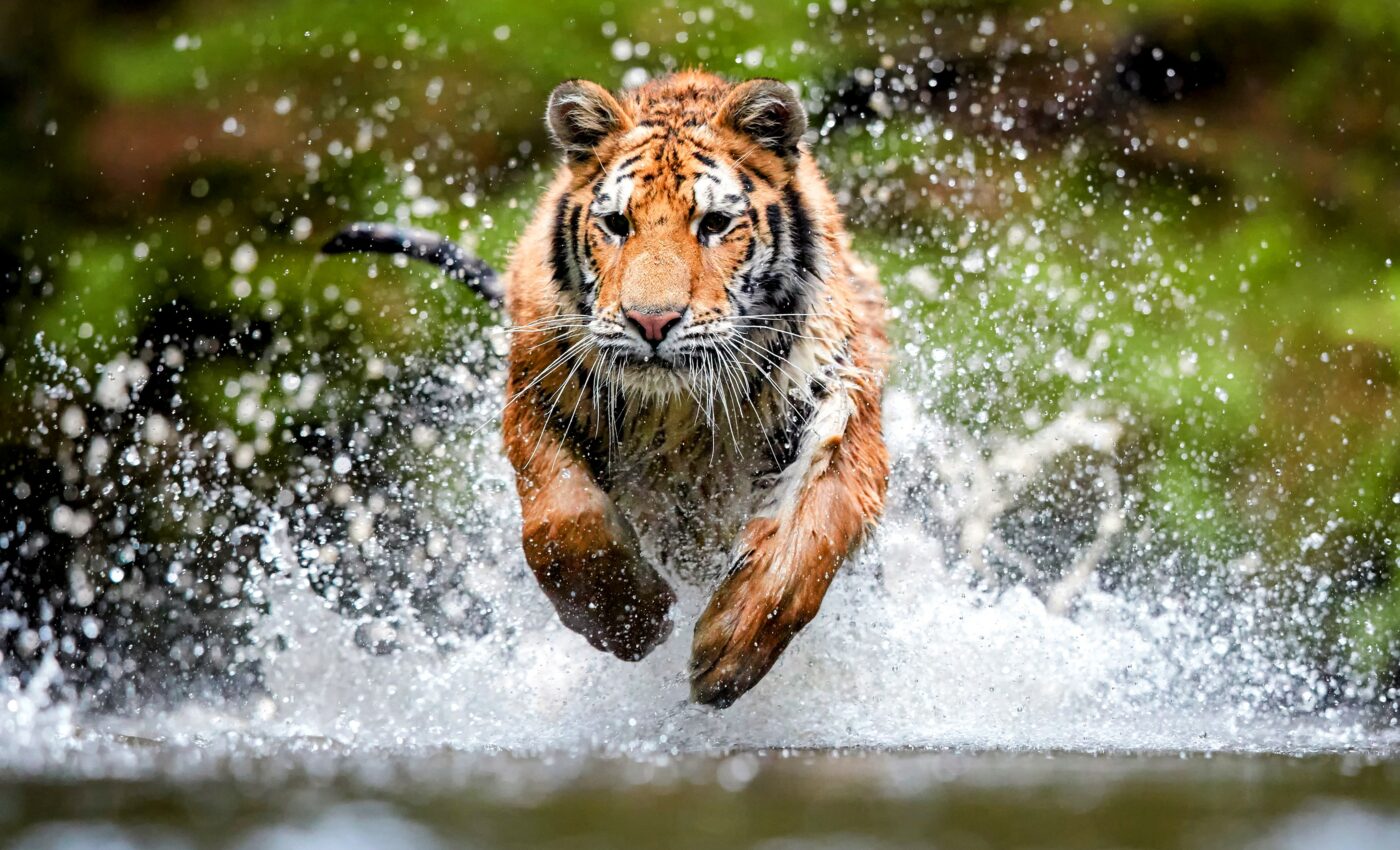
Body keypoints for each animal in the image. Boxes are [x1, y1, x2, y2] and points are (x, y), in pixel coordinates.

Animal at [324, 71, 889, 708]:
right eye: (618, 224)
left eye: (714, 224)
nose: (651, 322)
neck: (677, 412)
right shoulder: (535, 398)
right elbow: (562, 525)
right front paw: (633, 622)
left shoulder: (842, 403)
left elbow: (811, 533)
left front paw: (727, 653)